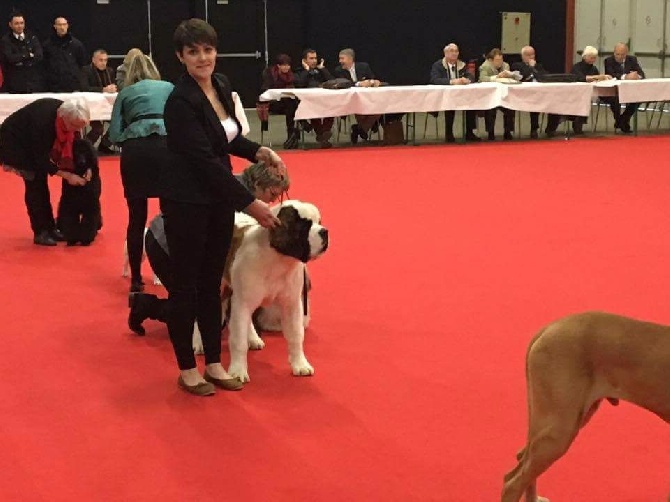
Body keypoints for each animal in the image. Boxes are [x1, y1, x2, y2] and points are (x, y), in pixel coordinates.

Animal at [193, 200, 330, 380]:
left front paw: (300, 364)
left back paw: (253, 338)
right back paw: (198, 342)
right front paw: (238, 371)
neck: (278, 259)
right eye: (304, 226)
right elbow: (238, 340)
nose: (325, 231)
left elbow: (295, 335)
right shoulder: (242, 303)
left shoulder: (292, 304)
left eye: (319, 222)